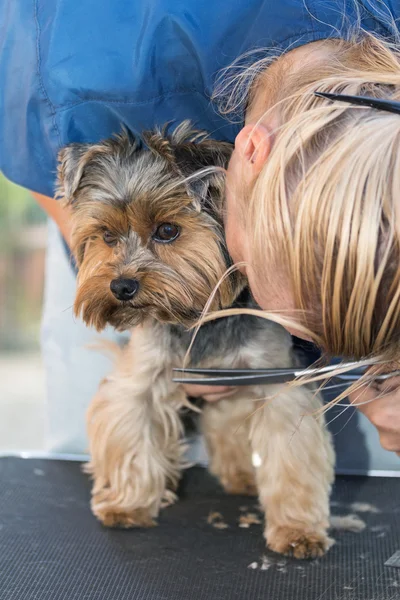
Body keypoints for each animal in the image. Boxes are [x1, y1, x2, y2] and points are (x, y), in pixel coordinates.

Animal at [57, 124, 334, 560]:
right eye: (107, 235)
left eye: (168, 231)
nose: (121, 286)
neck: (197, 319)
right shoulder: (144, 375)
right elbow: (133, 428)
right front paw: (128, 504)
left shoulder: (274, 380)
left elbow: (290, 455)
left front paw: (296, 529)